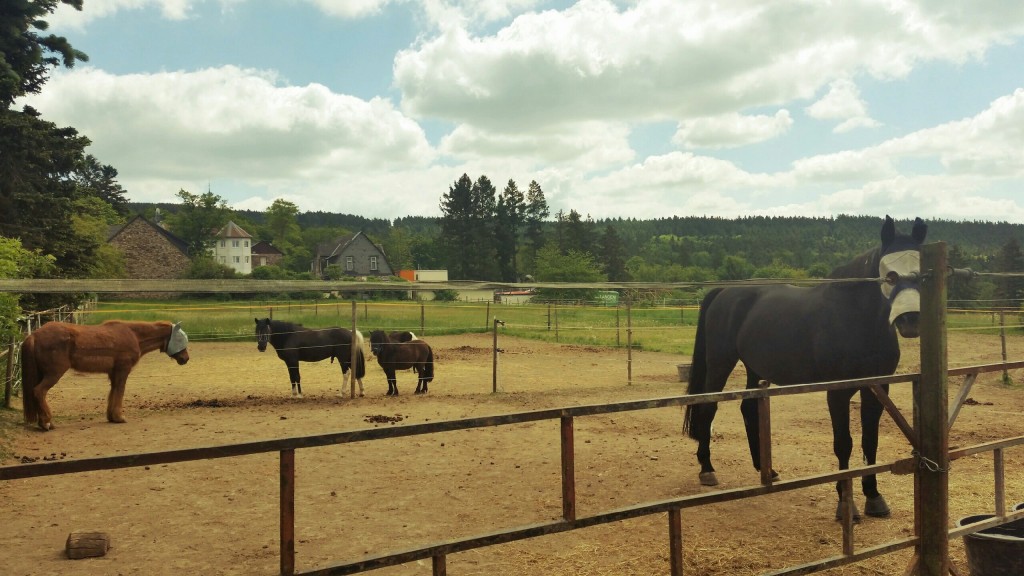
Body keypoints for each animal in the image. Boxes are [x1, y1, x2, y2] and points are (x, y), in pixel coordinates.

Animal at [20, 317, 189, 430]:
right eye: (180, 338)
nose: (185, 358)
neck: (133, 334)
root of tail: (34, 335)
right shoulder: (122, 370)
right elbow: (120, 391)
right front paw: (119, 417)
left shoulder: (114, 373)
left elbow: (113, 392)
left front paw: (112, 417)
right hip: (53, 374)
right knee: (39, 391)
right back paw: (46, 423)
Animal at [679, 216, 929, 520]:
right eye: (890, 276)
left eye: (922, 274)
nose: (911, 320)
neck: (854, 317)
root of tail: (725, 291)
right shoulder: (837, 392)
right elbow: (843, 443)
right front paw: (846, 505)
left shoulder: (878, 388)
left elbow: (870, 441)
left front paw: (874, 497)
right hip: (720, 362)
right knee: (708, 407)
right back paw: (707, 470)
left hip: (755, 368)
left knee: (749, 409)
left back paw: (766, 470)